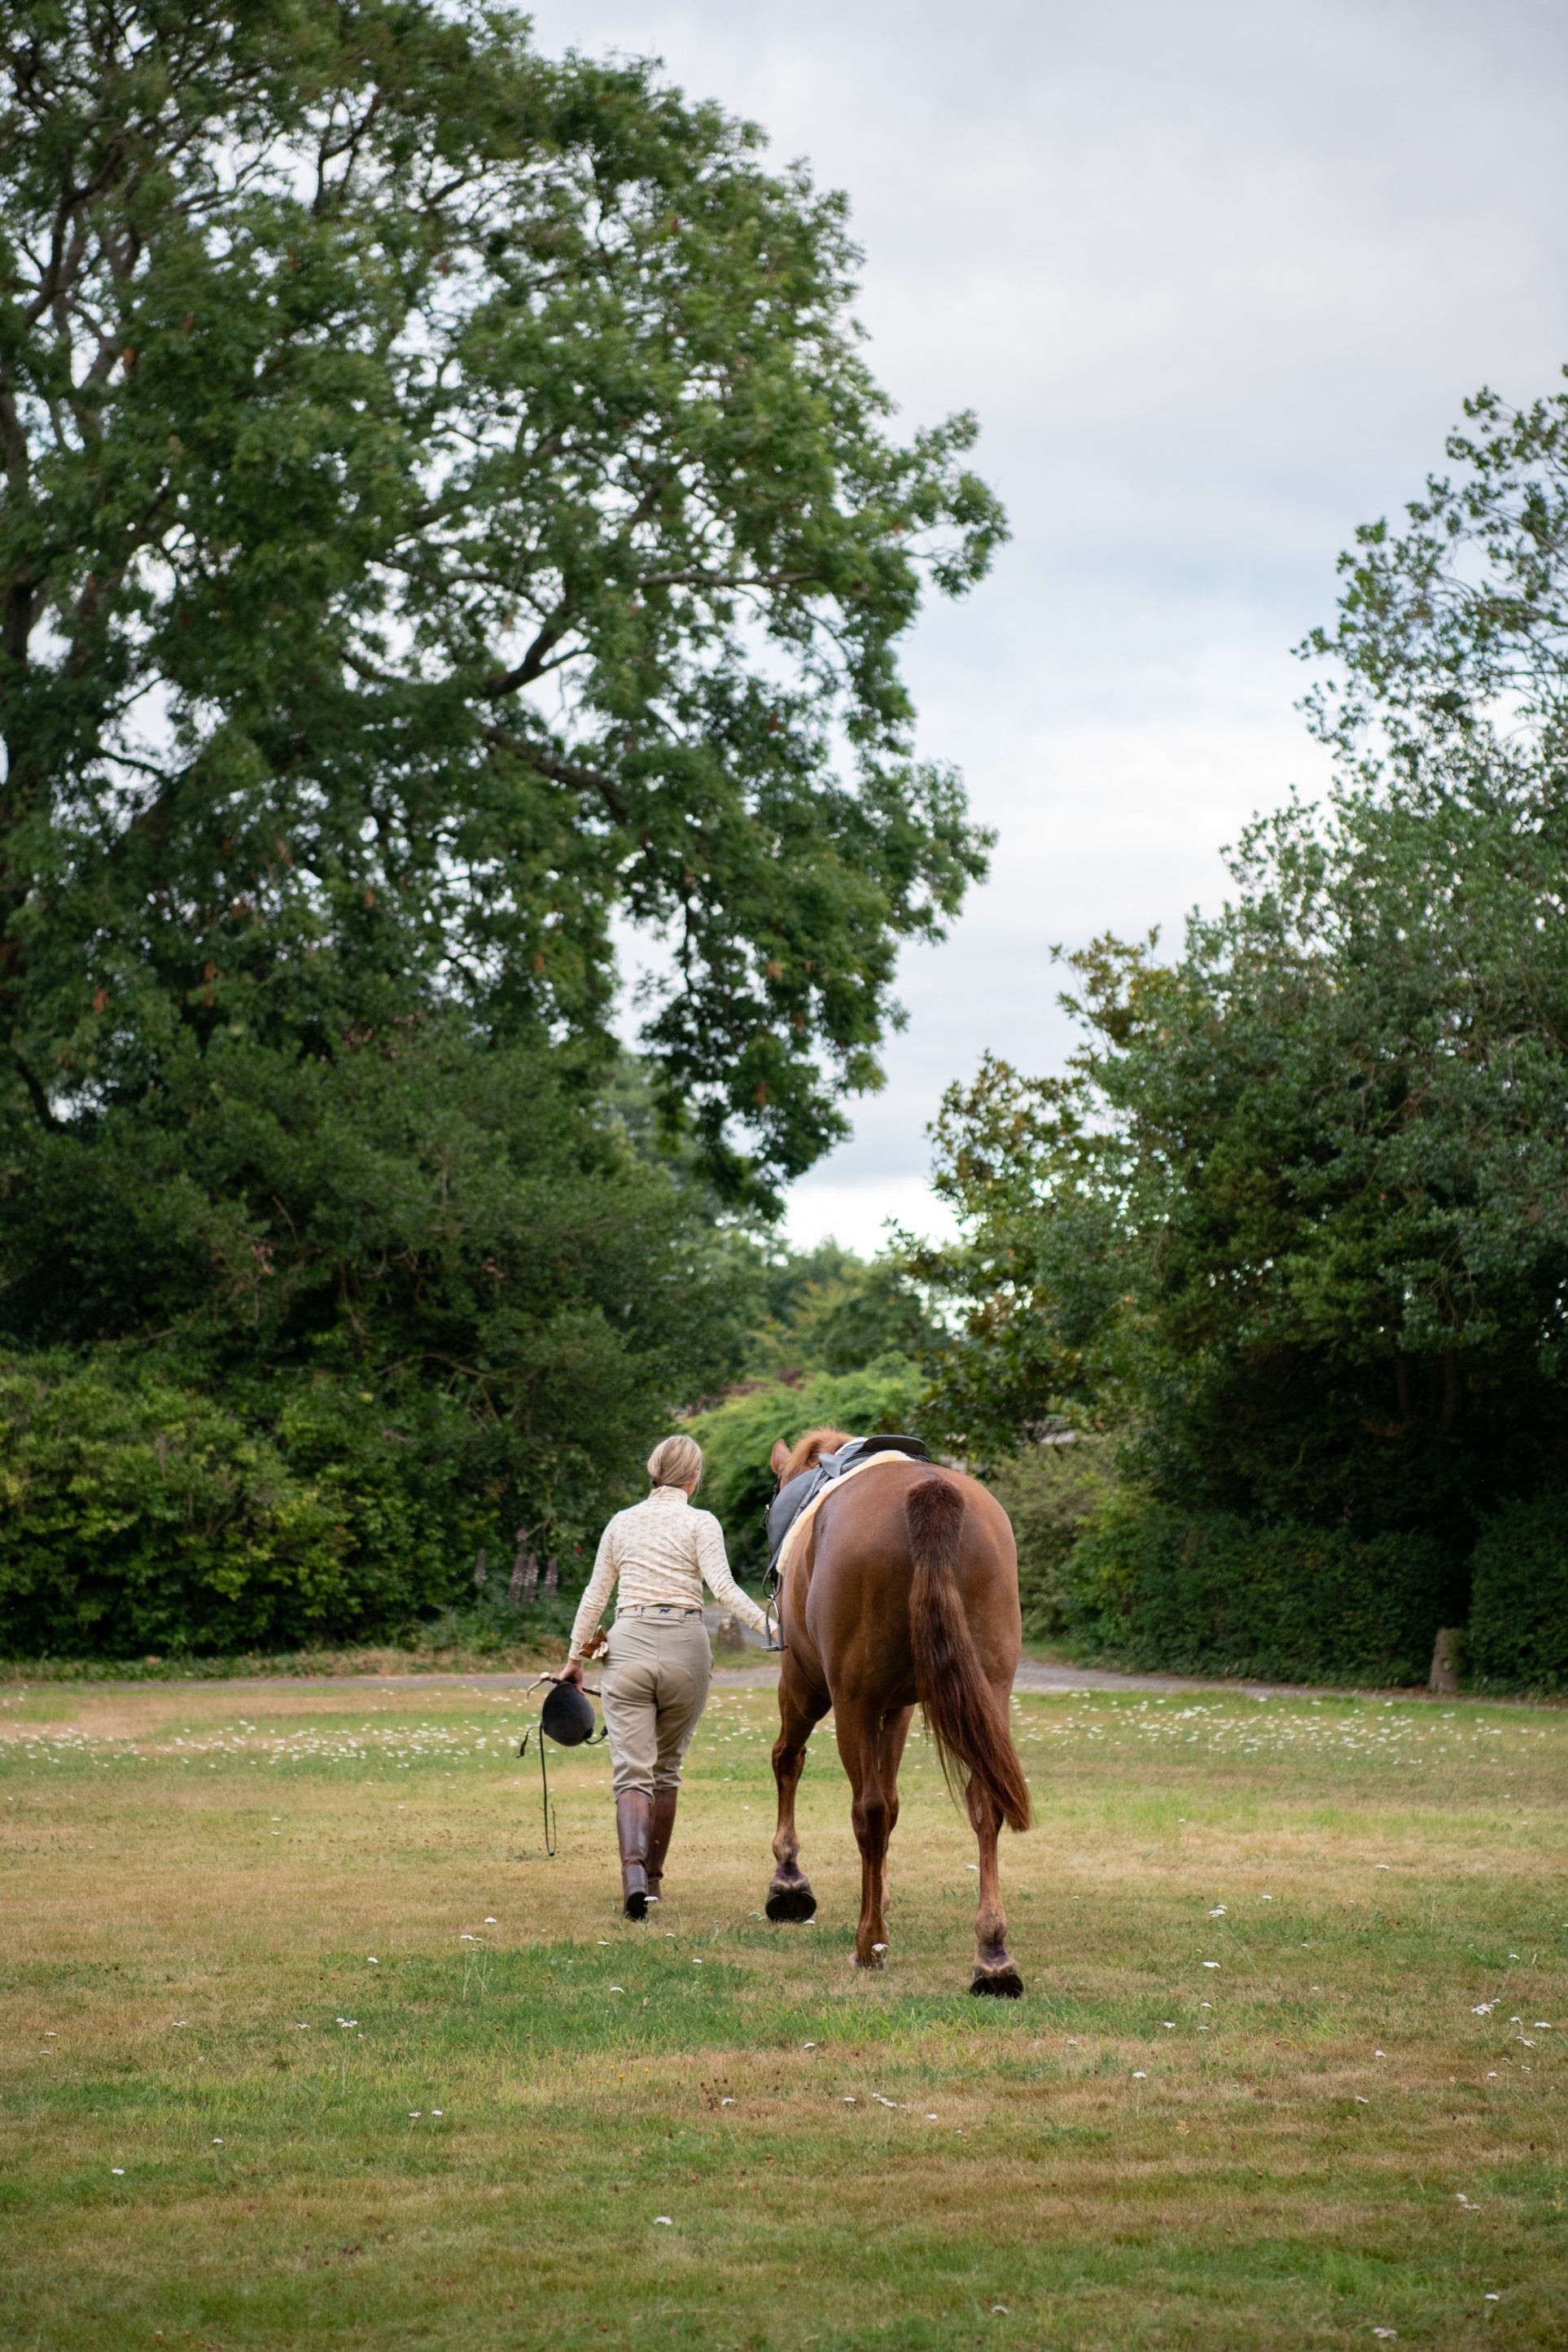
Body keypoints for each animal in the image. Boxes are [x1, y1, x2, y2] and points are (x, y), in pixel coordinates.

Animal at [761, 1420, 1029, 1994]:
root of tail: (929, 1494)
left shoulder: (809, 1686)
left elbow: (790, 1762)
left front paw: (789, 1882)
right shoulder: (899, 1709)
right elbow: (895, 1801)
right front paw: (877, 1894)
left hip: (848, 1701)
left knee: (866, 1808)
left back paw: (869, 1944)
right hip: (988, 1694)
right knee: (985, 1804)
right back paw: (992, 1954)